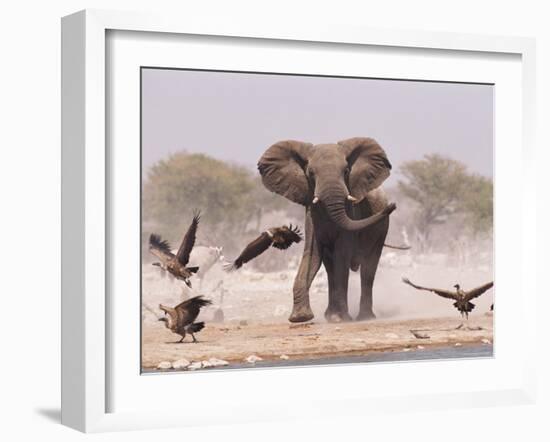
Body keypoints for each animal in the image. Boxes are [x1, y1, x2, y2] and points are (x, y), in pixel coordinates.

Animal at [258, 136, 396, 322]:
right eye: (310, 173)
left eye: (346, 171)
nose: (393, 205)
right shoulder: (311, 214)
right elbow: (312, 253)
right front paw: (301, 317)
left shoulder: (351, 212)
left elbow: (341, 255)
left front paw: (341, 319)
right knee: (330, 266)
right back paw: (331, 316)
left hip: (381, 230)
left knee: (368, 267)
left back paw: (365, 317)